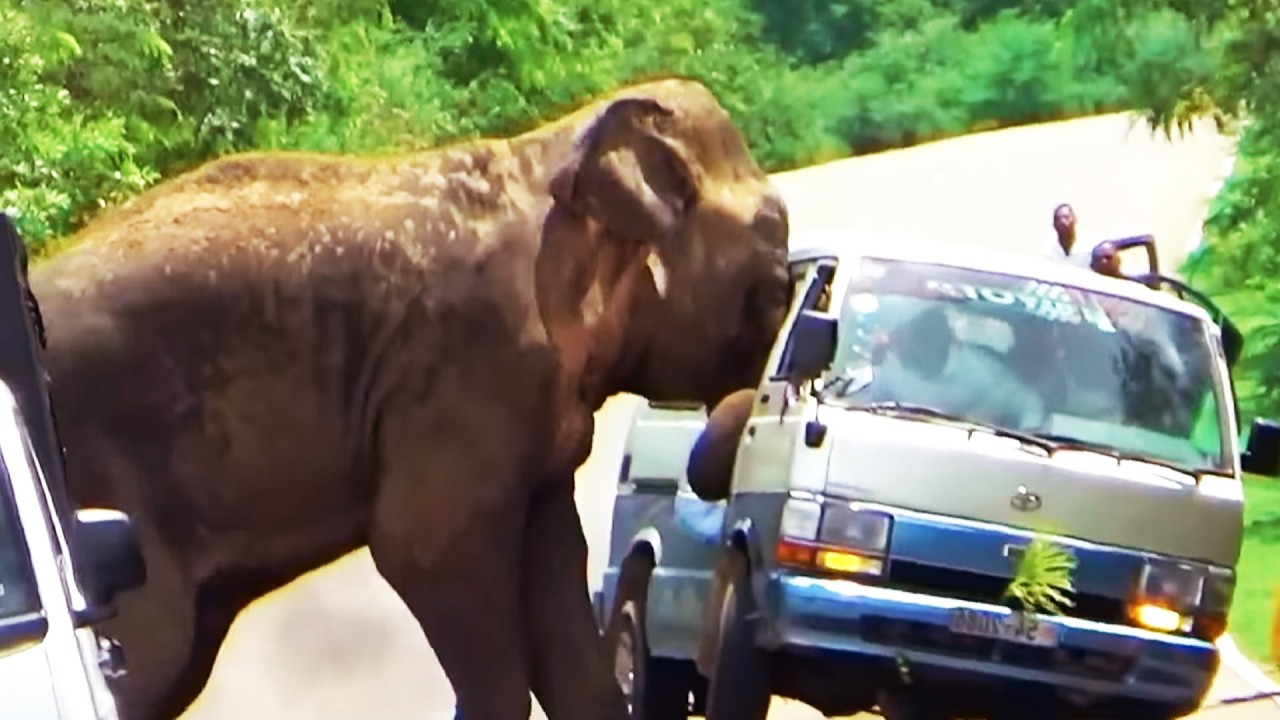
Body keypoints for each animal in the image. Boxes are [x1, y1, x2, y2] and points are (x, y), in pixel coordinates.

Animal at [28, 77, 791, 720]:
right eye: (778, 286)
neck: (551, 149)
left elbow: (558, 592)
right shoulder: (470, 364)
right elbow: (423, 547)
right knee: (151, 647)